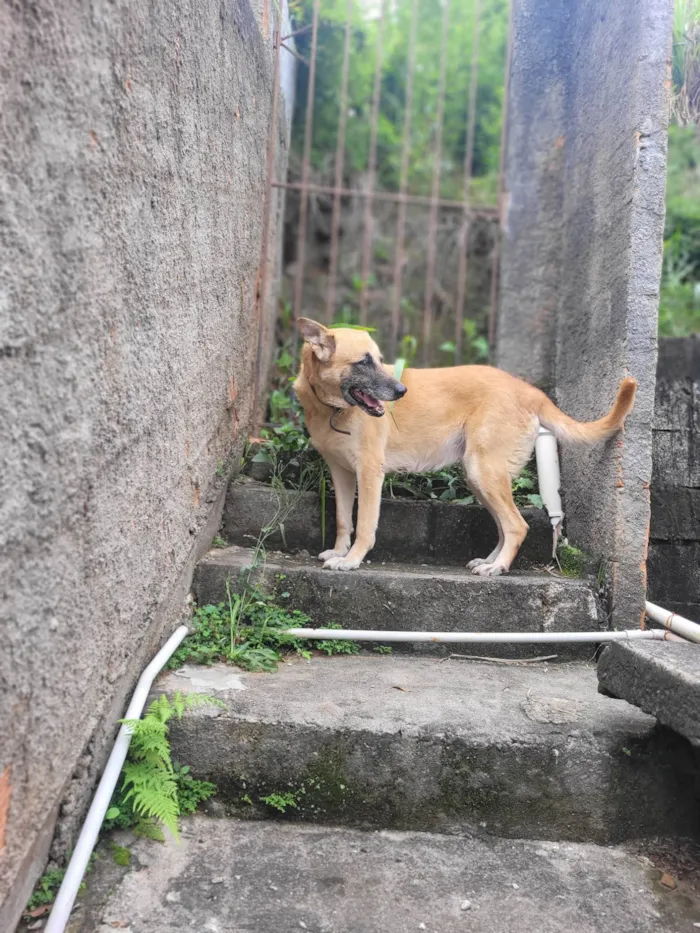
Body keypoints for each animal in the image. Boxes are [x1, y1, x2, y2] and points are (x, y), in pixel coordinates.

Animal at [292, 316, 636, 572]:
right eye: (363, 362)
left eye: (378, 360)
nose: (401, 391)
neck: (331, 408)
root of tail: (528, 390)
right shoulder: (341, 474)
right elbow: (342, 520)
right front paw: (338, 552)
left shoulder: (369, 474)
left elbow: (364, 524)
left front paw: (351, 560)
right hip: (479, 478)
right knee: (506, 526)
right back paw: (490, 561)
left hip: (484, 473)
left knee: (517, 525)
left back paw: (498, 567)